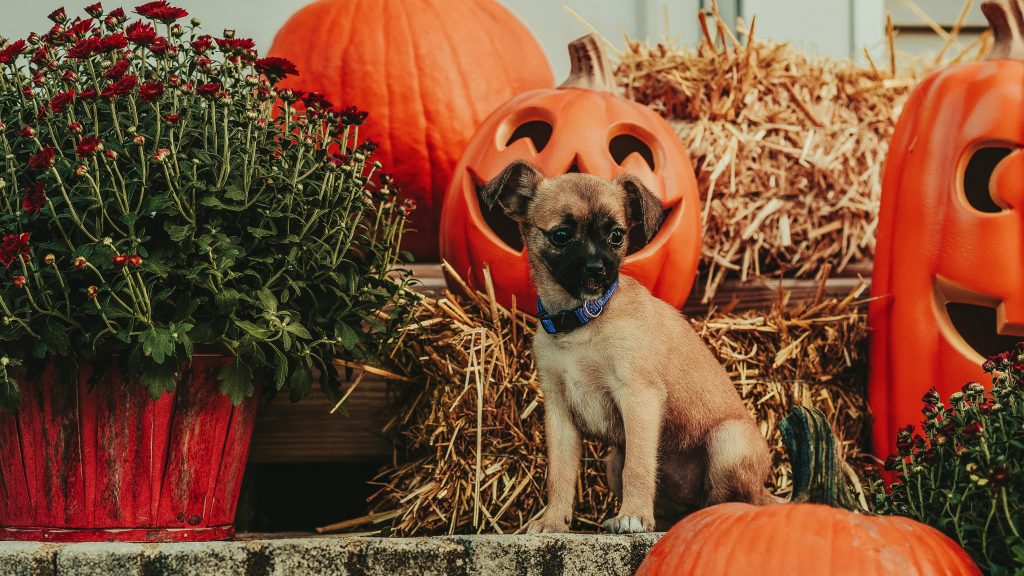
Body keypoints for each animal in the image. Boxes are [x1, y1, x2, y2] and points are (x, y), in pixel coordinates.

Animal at [483, 158, 770, 532]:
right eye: (561, 235)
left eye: (616, 235)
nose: (596, 269)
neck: (582, 320)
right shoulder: (559, 413)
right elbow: (560, 474)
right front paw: (553, 521)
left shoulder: (638, 396)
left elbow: (639, 465)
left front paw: (632, 515)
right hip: (612, 462)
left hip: (728, 443)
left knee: (731, 501)